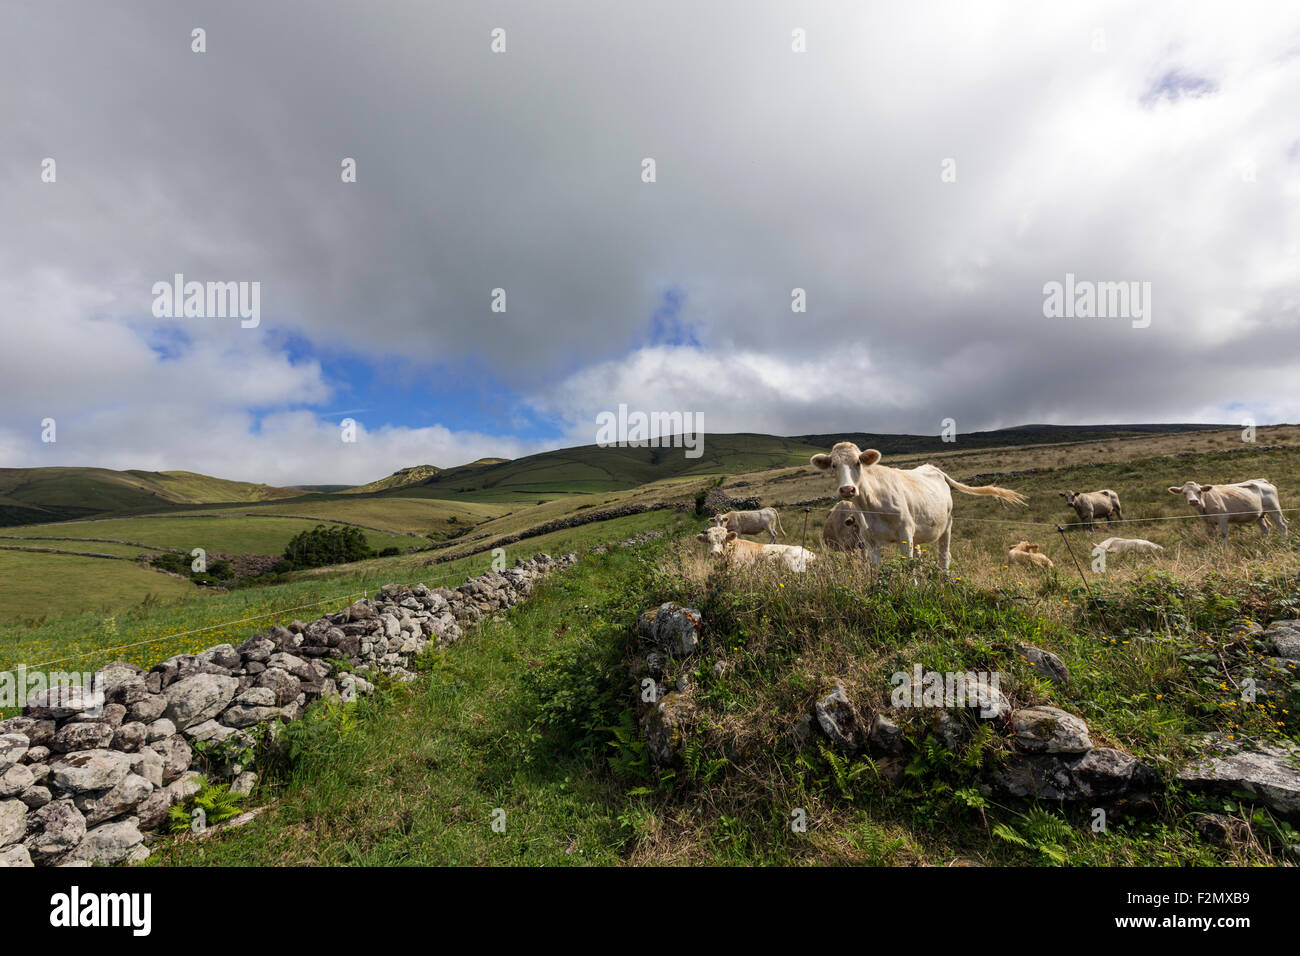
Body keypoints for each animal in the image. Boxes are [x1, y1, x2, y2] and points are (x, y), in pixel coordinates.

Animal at [806, 442, 1029, 567]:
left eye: (858, 463)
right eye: (833, 465)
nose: (847, 489)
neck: (872, 503)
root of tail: (933, 468)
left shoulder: (905, 534)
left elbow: (908, 566)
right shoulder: (869, 541)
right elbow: (877, 571)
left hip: (947, 526)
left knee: (944, 557)